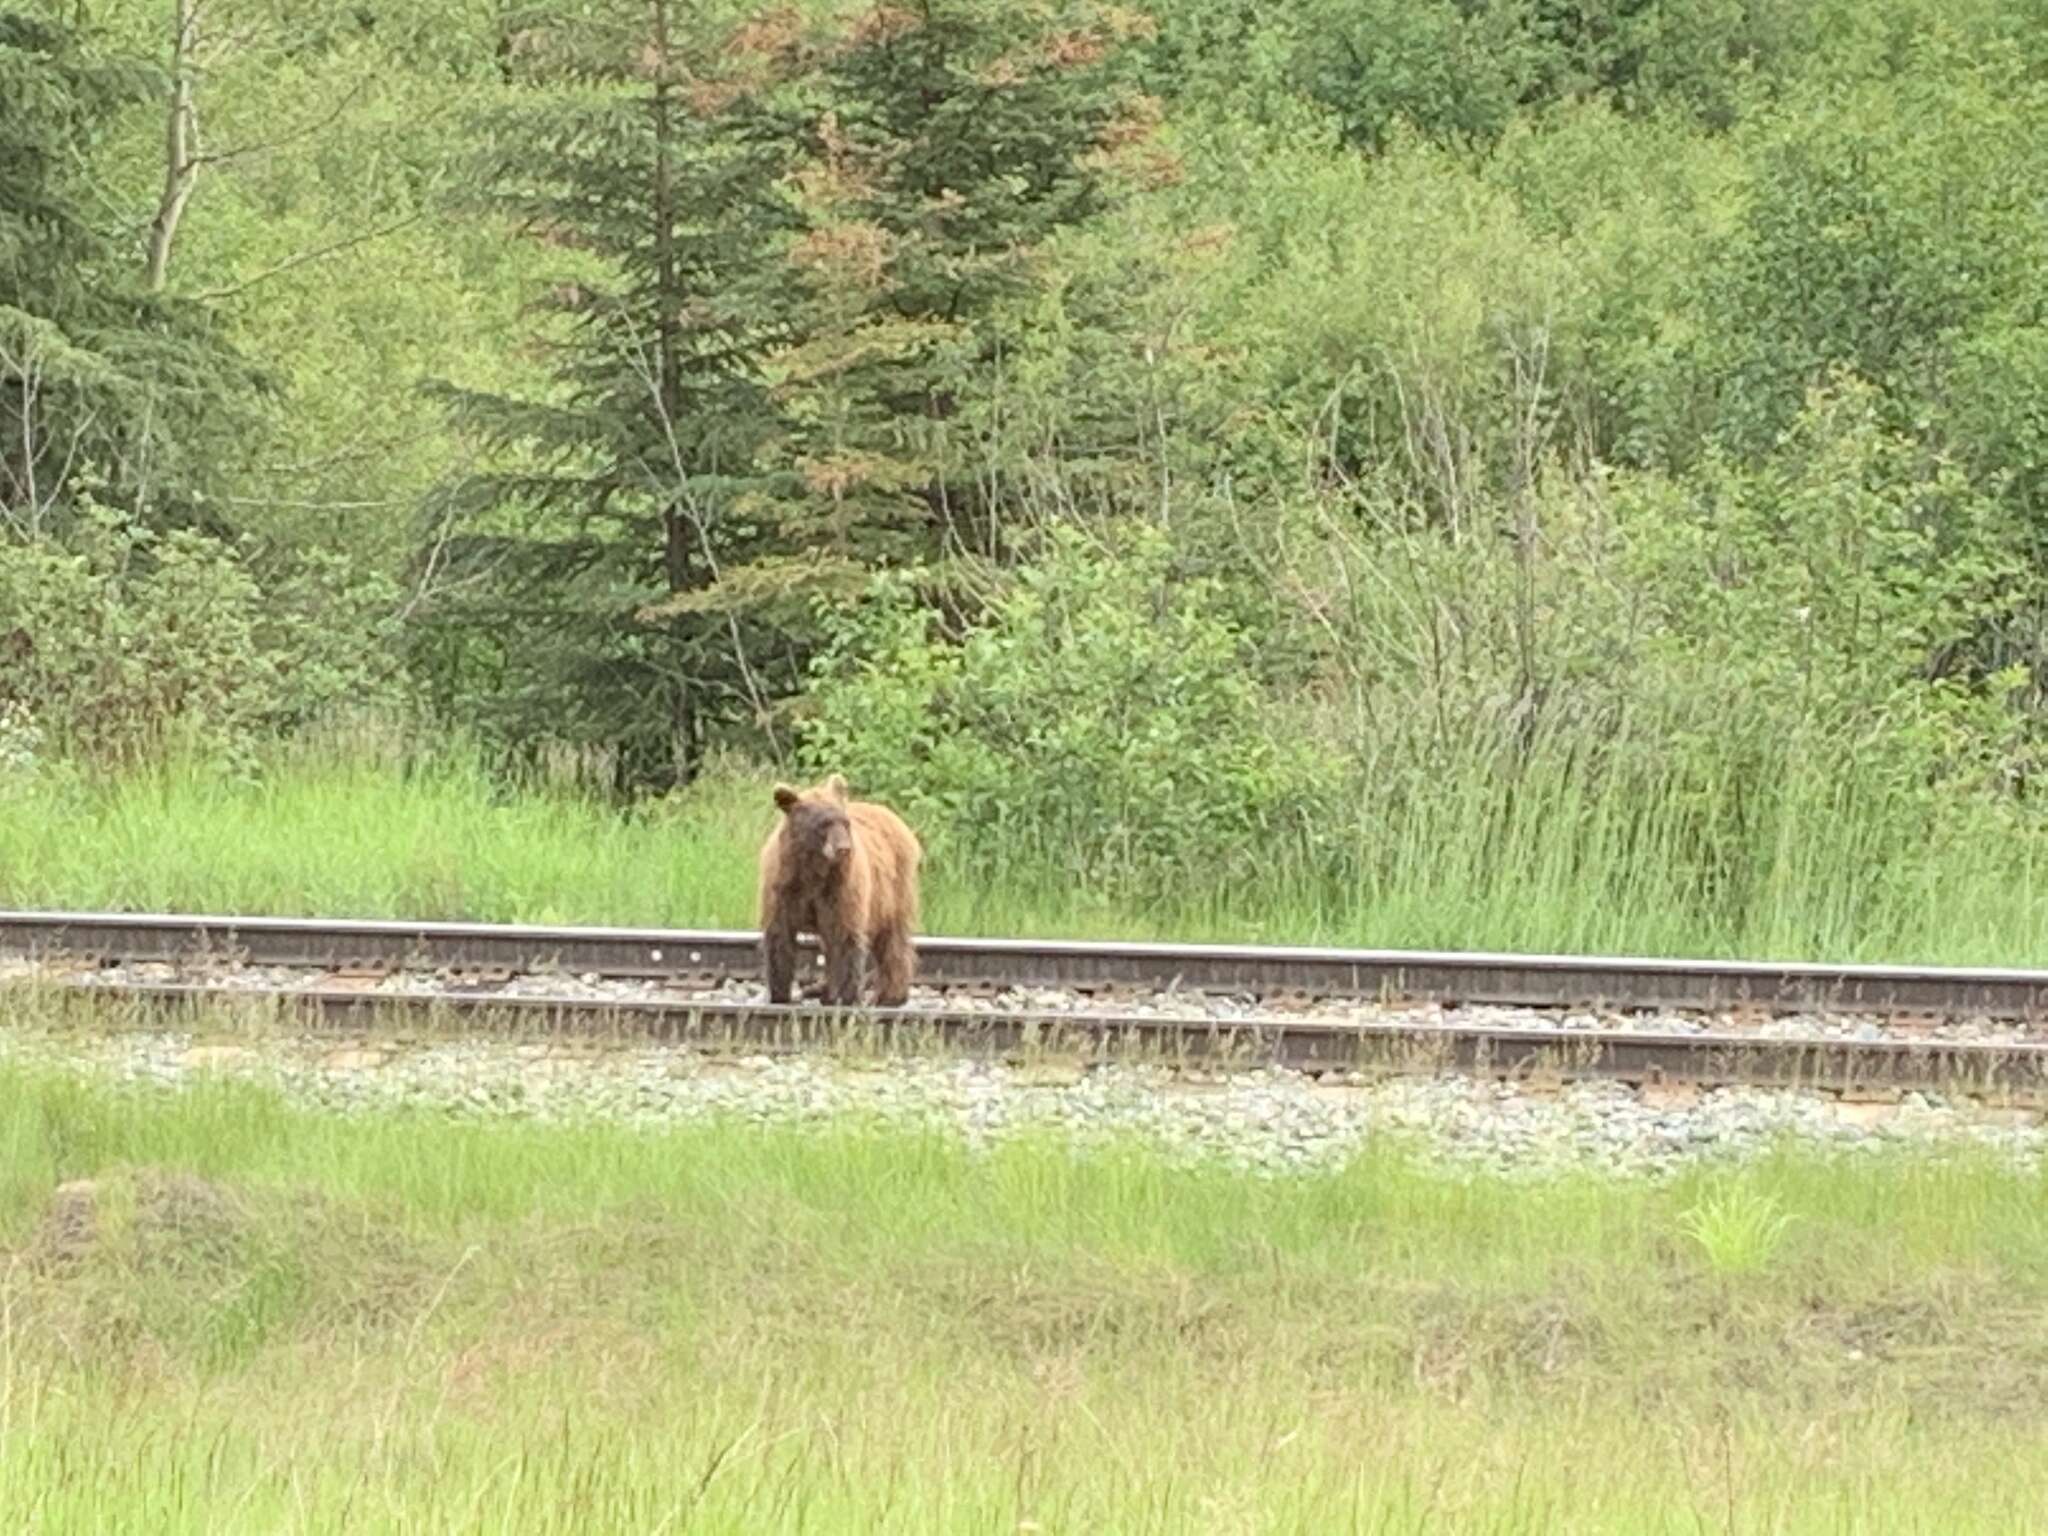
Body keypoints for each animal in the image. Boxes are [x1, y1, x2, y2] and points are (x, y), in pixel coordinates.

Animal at [757, 770, 925, 1011]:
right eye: (823, 823)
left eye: (845, 823)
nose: (844, 848)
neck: (814, 869)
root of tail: (893, 816)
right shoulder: (784, 885)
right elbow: (780, 933)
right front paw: (779, 994)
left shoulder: (840, 889)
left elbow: (846, 935)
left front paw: (847, 996)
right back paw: (824, 991)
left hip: (892, 890)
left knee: (892, 937)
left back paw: (889, 995)